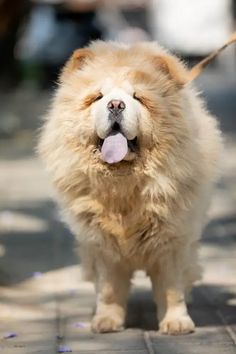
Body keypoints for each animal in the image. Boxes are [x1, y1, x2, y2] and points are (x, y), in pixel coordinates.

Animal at [37, 40, 222, 334]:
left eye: (138, 97)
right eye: (98, 97)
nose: (115, 104)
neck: (123, 184)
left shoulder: (172, 240)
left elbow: (171, 288)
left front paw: (176, 323)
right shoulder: (102, 244)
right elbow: (109, 288)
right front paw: (106, 322)